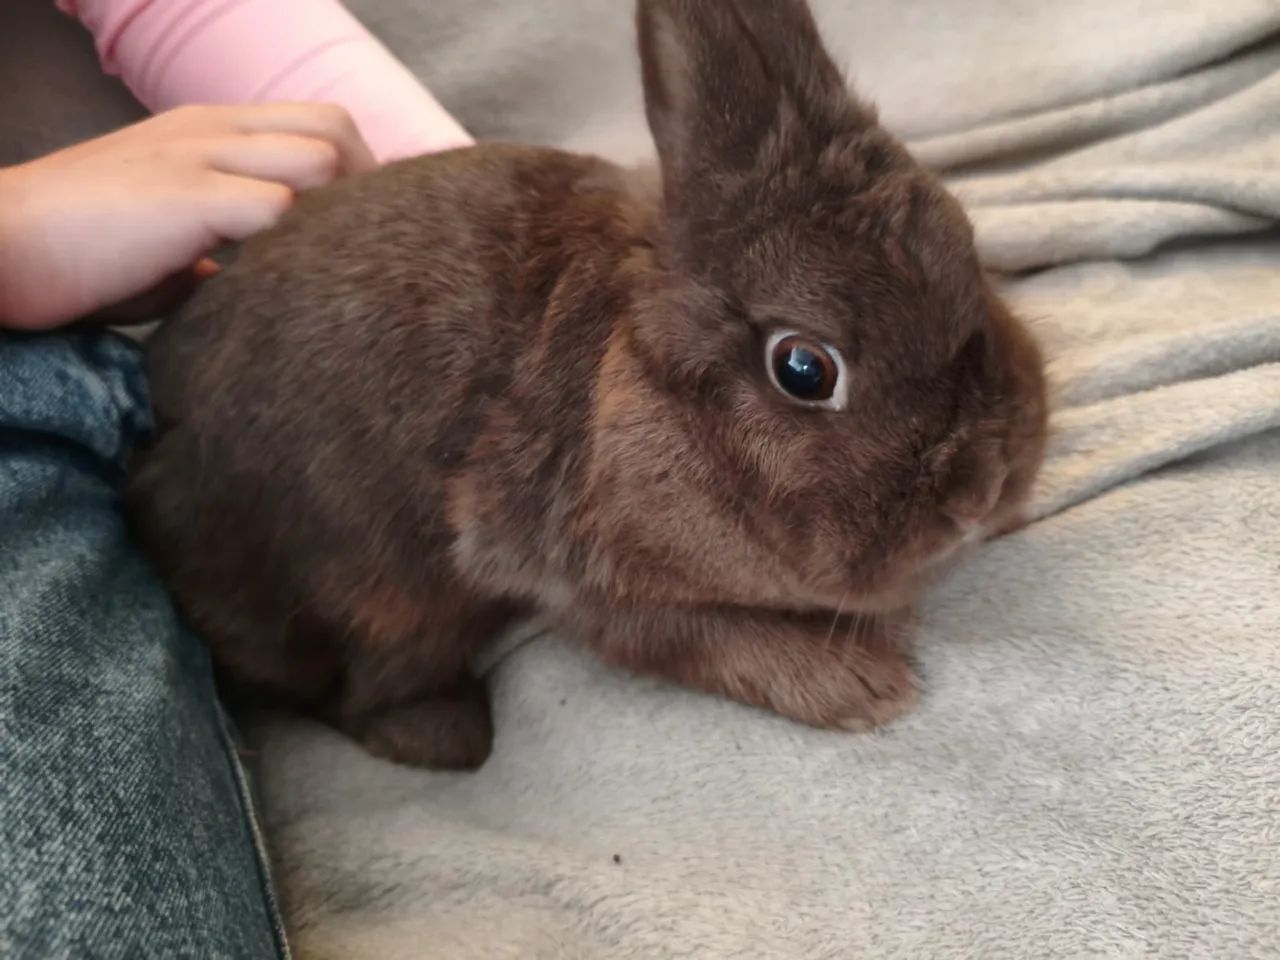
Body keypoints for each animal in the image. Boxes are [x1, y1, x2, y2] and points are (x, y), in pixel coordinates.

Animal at [129, 0, 1048, 769]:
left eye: (968, 254)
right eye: (804, 368)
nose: (981, 492)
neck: (635, 380)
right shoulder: (561, 564)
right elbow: (685, 635)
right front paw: (862, 687)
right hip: (374, 592)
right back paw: (449, 739)